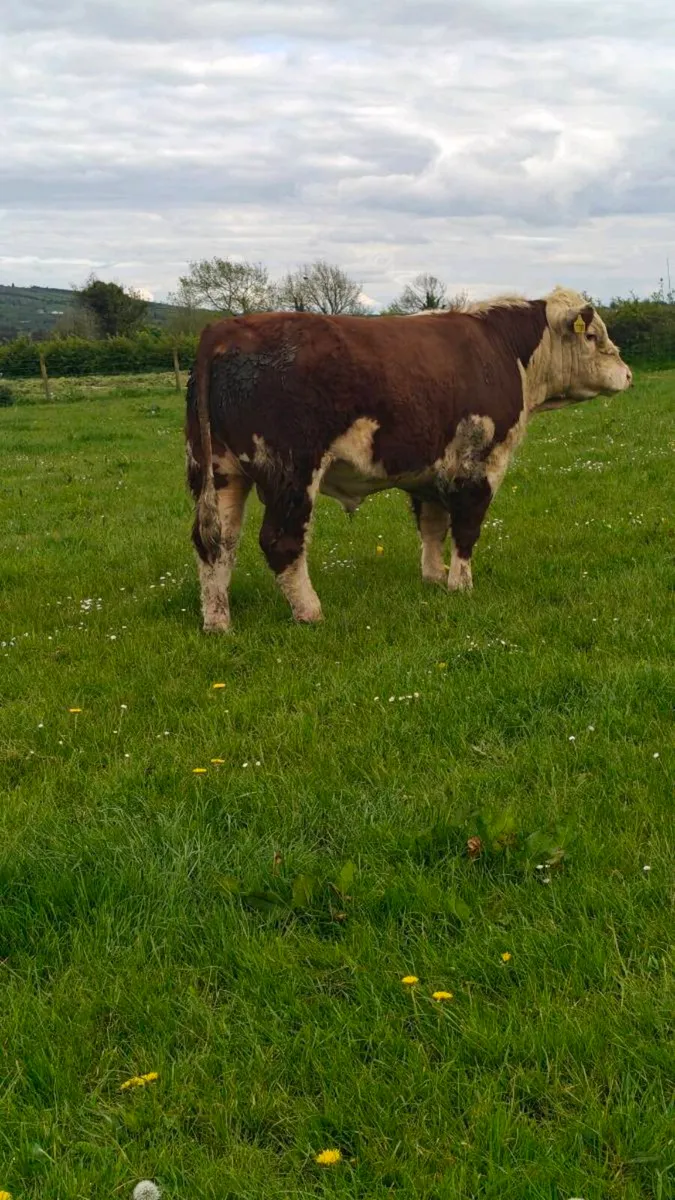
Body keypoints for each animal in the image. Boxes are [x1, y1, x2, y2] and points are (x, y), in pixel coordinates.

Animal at [185, 287, 632, 631]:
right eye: (593, 335)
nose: (627, 374)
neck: (505, 351)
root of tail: (224, 329)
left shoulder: (430, 471)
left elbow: (432, 527)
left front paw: (434, 578)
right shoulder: (479, 464)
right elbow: (466, 528)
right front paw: (461, 585)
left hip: (219, 472)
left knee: (216, 543)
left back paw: (218, 622)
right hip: (290, 471)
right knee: (281, 541)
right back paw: (310, 613)